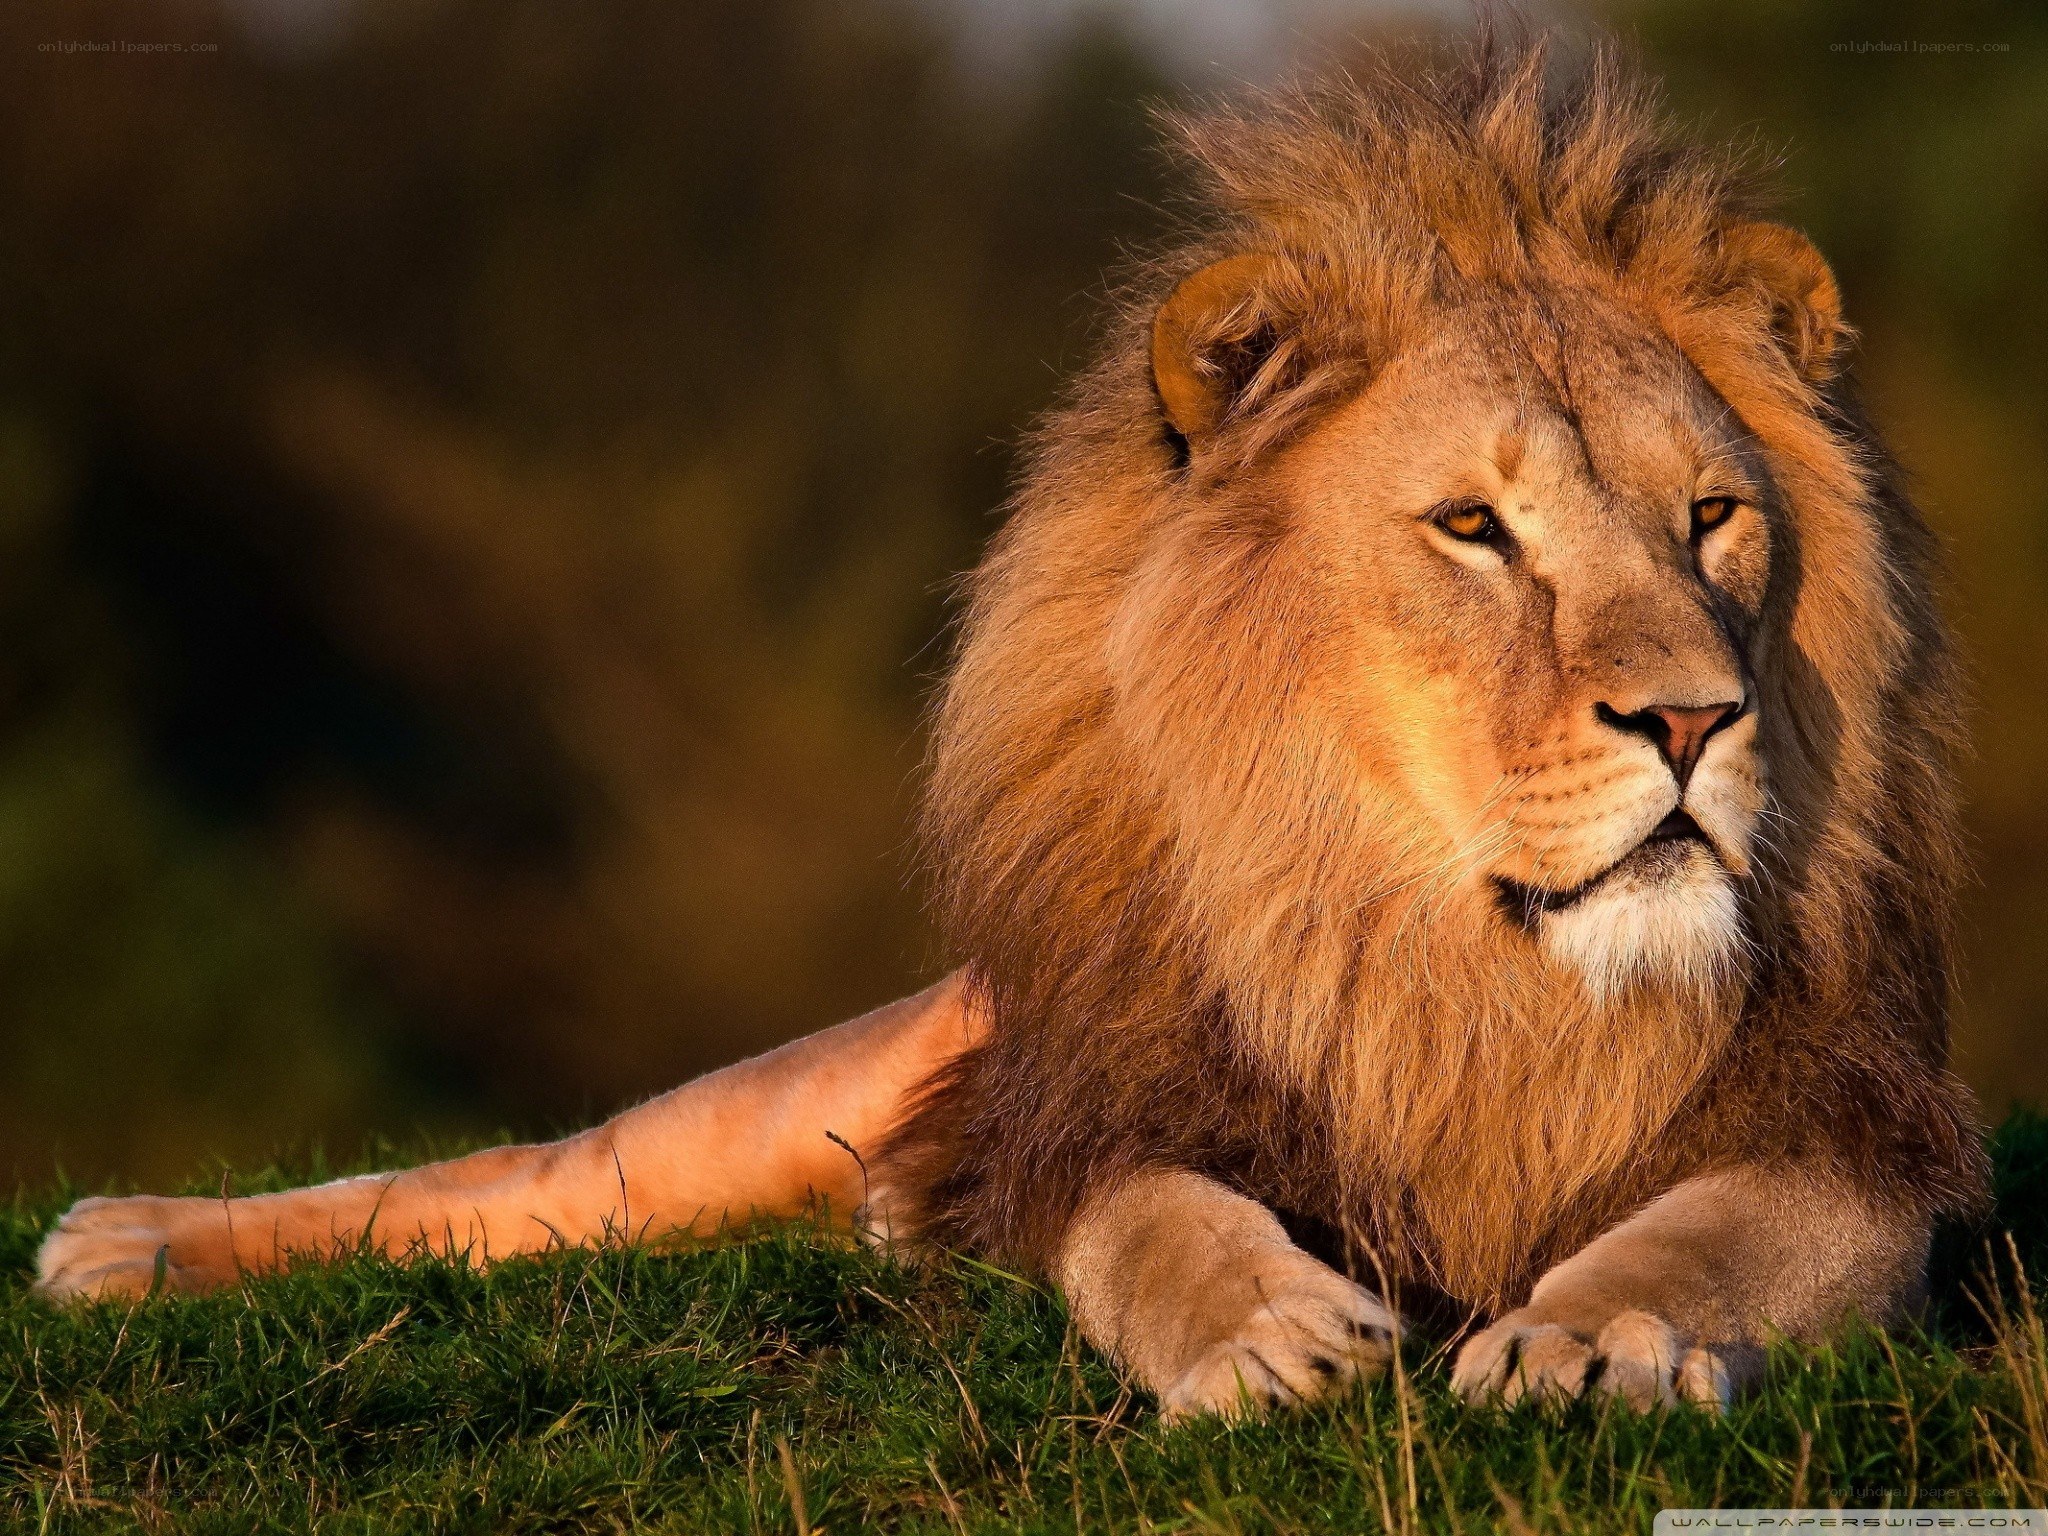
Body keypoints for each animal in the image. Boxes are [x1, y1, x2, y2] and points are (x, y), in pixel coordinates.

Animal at [36, 36, 1986, 1420]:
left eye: (1711, 518)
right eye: (1471, 529)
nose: (1693, 718)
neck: (1456, 972)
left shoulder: (1854, 1140)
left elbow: (1717, 1233)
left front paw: (1589, 1336)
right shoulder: (1094, 1114)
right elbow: (1152, 1225)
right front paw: (1269, 1334)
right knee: (514, 1182)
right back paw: (117, 1241)